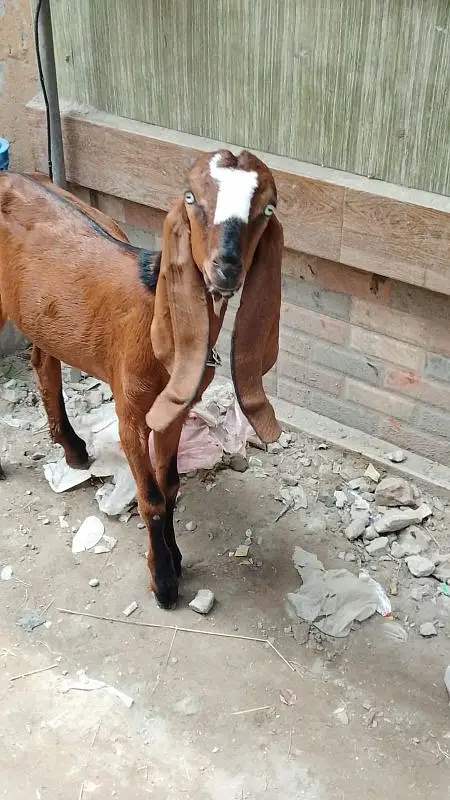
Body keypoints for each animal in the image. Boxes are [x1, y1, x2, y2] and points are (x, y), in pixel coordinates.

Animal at [0, 149, 283, 608]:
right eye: (191, 197)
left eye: (267, 208)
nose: (226, 268)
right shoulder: (130, 411)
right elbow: (149, 497)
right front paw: (163, 582)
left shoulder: (172, 413)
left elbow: (169, 487)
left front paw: (177, 558)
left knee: (43, 359)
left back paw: (74, 449)